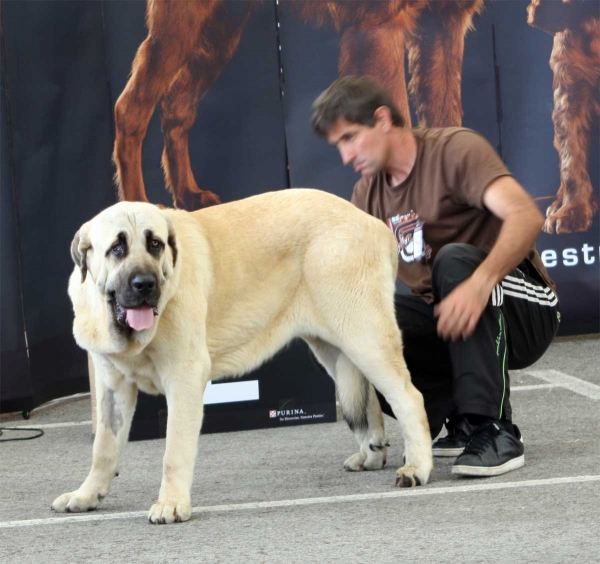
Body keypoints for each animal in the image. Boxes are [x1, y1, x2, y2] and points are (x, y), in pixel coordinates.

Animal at [52, 189, 432, 524]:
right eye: (117, 248)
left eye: (155, 244)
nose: (145, 284)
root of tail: (374, 223)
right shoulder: (112, 389)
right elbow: (103, 448)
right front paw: (87, 495)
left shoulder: (184, 378)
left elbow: (174, 451)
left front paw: (171, 504)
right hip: (334, 344)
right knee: (369, 397)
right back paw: (372, 455)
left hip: (365, 335)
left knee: (409, 397)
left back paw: (418, 466)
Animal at [113, 0, 482, 209]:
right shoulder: (380, 28)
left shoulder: (445, 24)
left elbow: (448, 121)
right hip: (181, 25)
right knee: (131, 109)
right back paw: (135, 208)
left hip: (221, 29)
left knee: (177, 105)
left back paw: (188, 194)